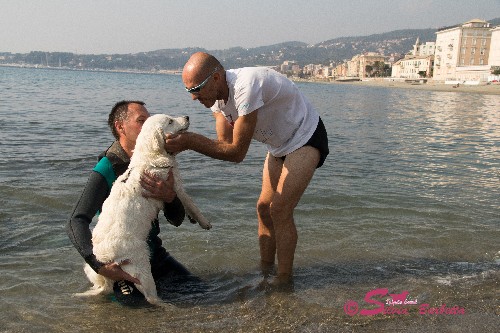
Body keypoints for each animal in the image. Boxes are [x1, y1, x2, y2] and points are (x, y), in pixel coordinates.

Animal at [76, 113, 211, 304]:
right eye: (170, 121)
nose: (187, 116)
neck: (150, 156)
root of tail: (107, 261)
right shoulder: (175, 186)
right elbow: (190, 203)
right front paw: (204, 222)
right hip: (141, 268)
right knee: (151, 297)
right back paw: (166, 304)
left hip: (91, 269)